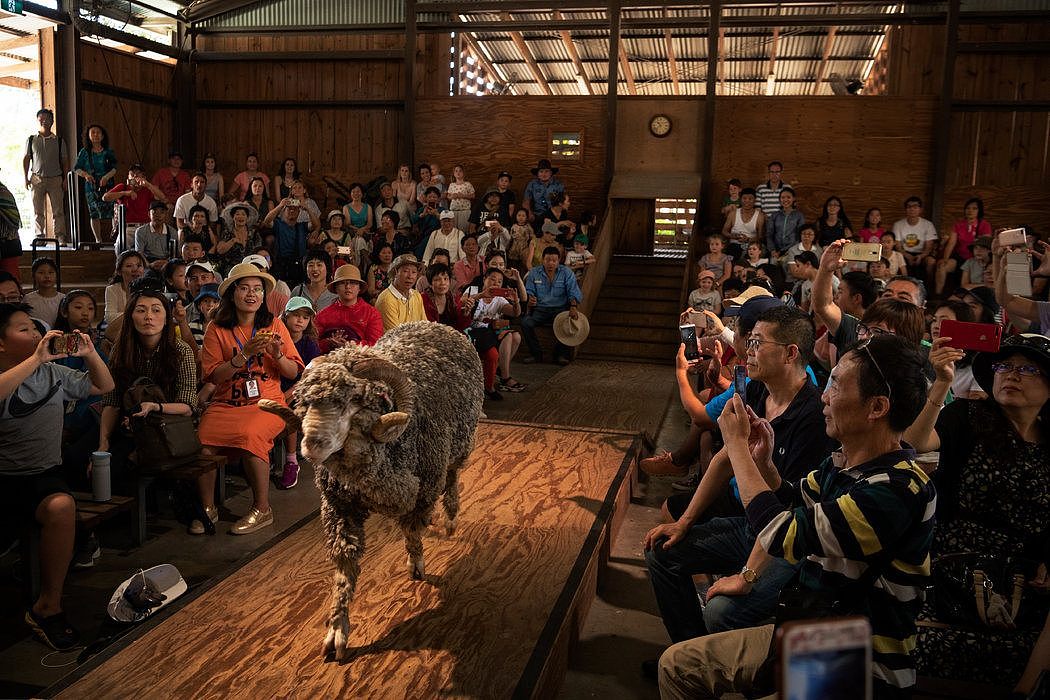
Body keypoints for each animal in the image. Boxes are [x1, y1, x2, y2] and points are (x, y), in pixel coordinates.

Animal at [260, 321, 480, 659]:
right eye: (305, 402)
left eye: (352, 400)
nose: (312, 445)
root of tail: (435, 324)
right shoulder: (339, 507)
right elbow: (345, 566)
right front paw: (338, 629)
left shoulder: (424, 488)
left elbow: (412, 528)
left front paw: (416, 563)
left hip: (461, 444)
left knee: (454, 476)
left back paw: (451, 516)